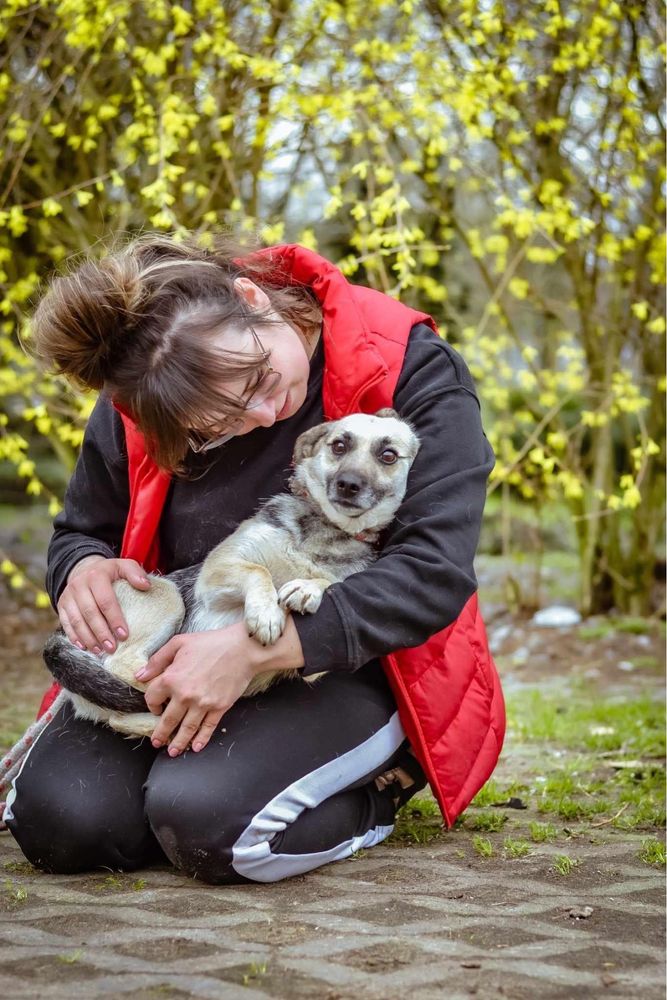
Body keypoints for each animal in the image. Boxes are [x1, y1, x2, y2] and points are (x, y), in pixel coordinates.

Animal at [45, 408, 422, 744]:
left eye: (388, 455)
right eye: (339, 445)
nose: (348, 484)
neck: (324, 530)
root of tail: (61, 640)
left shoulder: (315, 667)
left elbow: (332, 581)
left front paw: (305, 588)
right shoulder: (218, 568)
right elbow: (258, 569)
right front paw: (267, 613)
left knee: (122, 714)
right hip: (166, 596)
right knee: (130, 668)